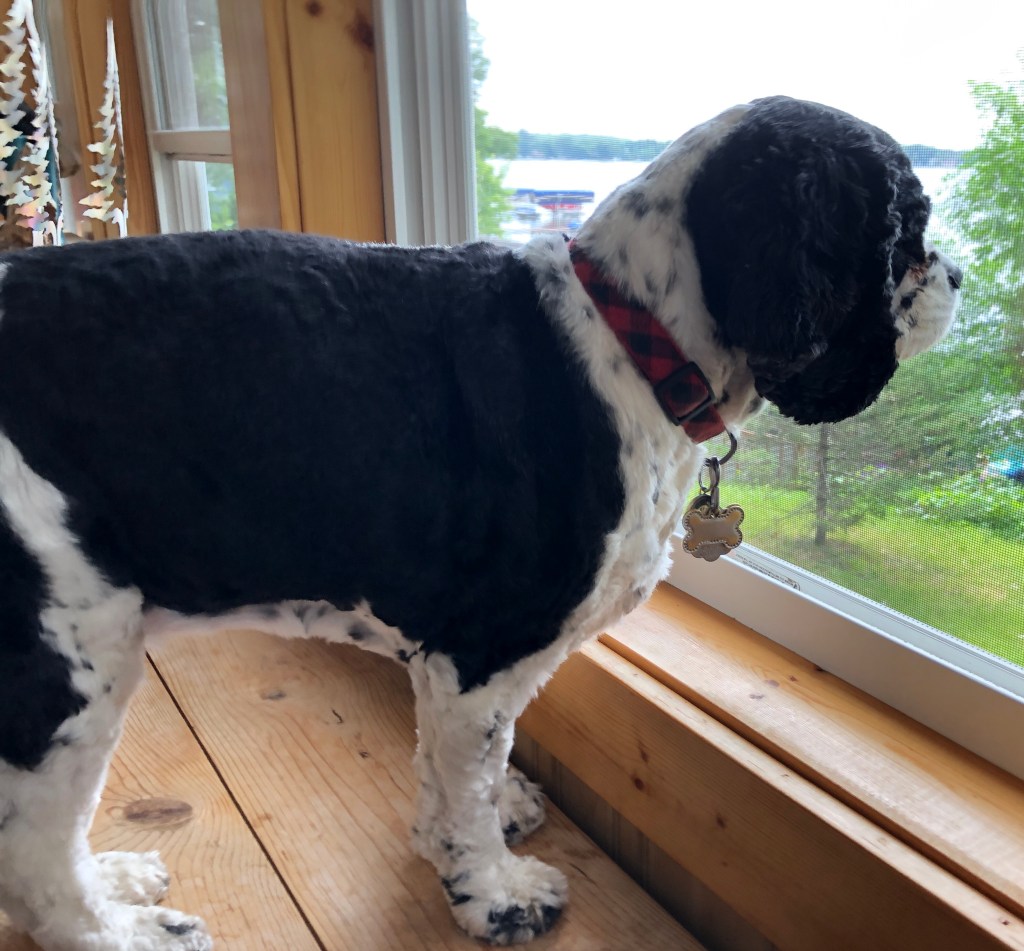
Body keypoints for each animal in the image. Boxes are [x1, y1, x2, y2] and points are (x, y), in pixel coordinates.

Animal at [0, 96, 960, 949]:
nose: (958, 274)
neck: (629, 336)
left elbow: (458, 768)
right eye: (907, 228)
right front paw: (493, 892)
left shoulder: (464, 663)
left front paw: (485, 823)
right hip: (70, 661)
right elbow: (468, 782)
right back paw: (120, 929)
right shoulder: (485, 647)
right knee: (36, 857)